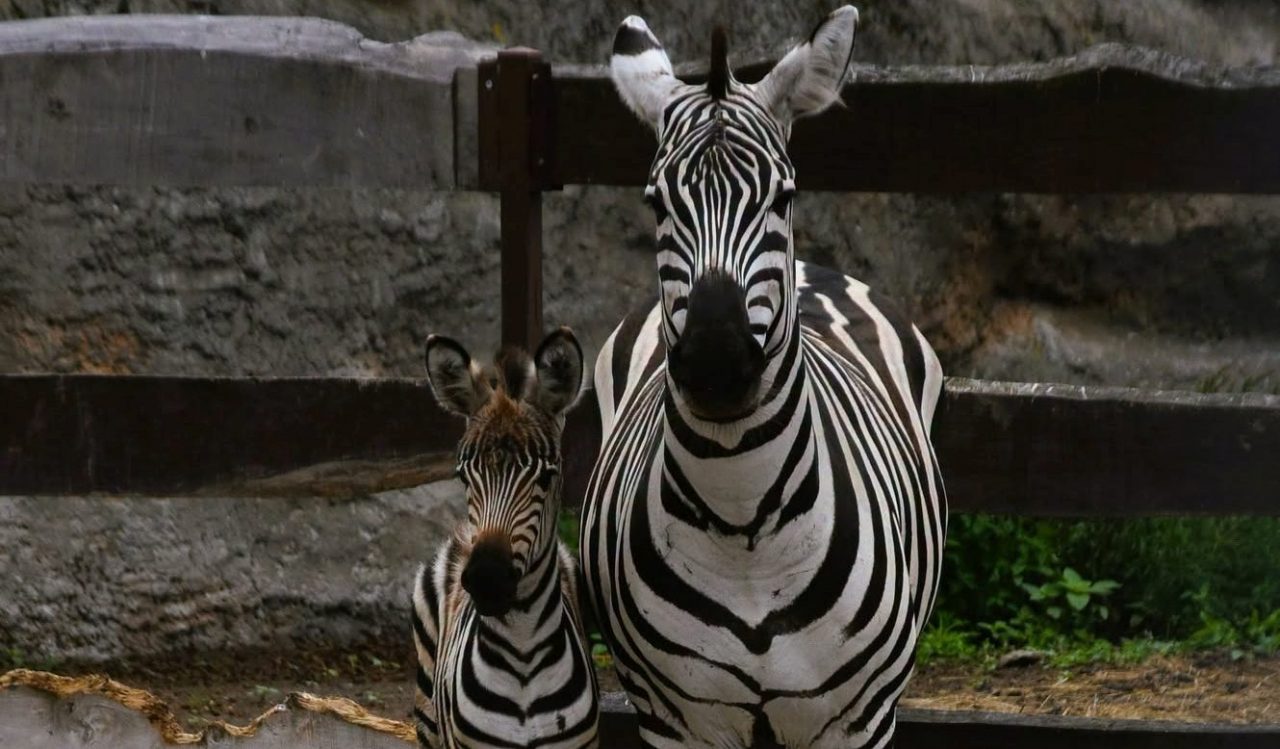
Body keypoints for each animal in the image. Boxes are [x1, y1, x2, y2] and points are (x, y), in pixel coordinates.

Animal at [581, 7, 947, 748]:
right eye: (656, 202)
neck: (742, 519)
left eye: (784, 196)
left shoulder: (859, 720)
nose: (716, 364)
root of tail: (812, 267)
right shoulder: (677, 719)